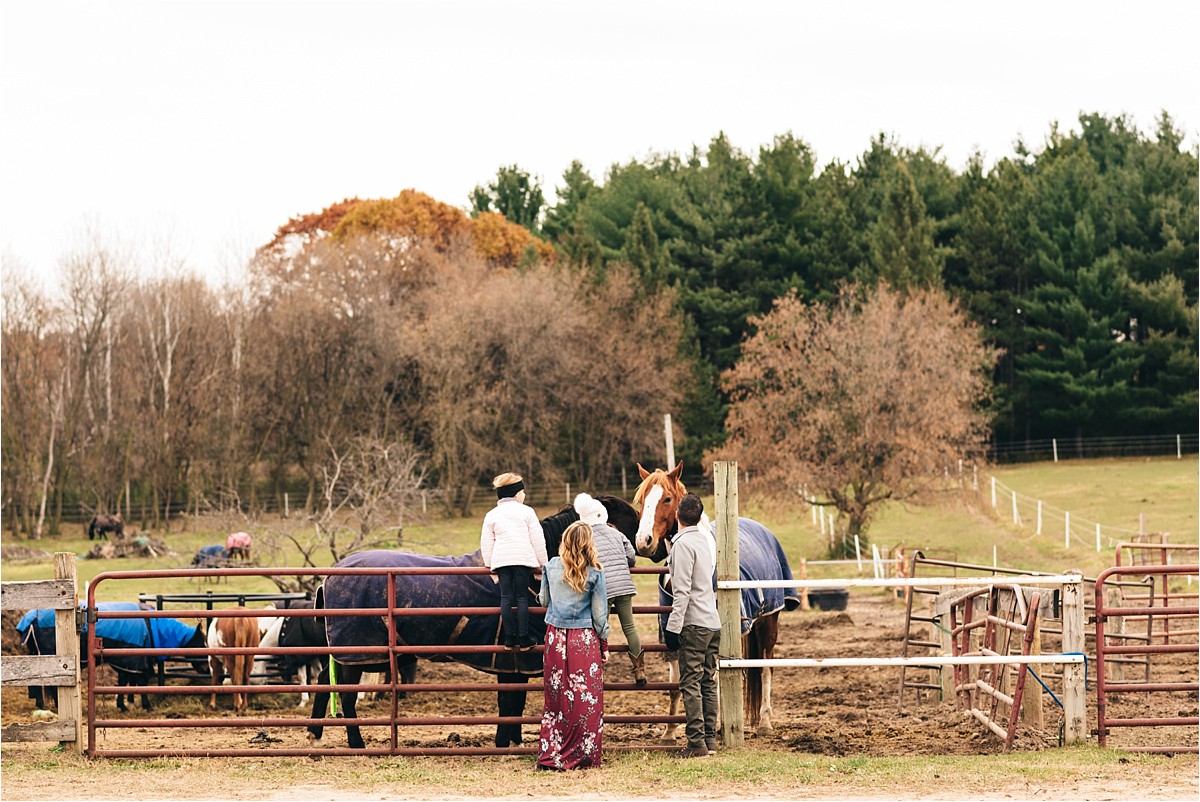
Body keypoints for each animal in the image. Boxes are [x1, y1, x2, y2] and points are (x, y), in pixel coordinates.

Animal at [309, 494, 643, 753]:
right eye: (630, 516)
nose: (649, 544)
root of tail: (332, 574)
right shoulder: (511, 661)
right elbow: (509, 704)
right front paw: (503, 742)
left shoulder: (514, 664)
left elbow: (515, 703)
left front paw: (511, 740)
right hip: (360, 651)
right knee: (346, 695)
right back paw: (356, 743)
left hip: (355, 653)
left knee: (326, 680)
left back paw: (314, 732)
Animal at [633, 461, 801, 734]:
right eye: (641, 500)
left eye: (667, 498)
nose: (643, 541)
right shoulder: (670, 633)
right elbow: (676, 684)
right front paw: (669, 731)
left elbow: (713, 679)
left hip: (769, 621)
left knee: (766, 668)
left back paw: (764, 722)